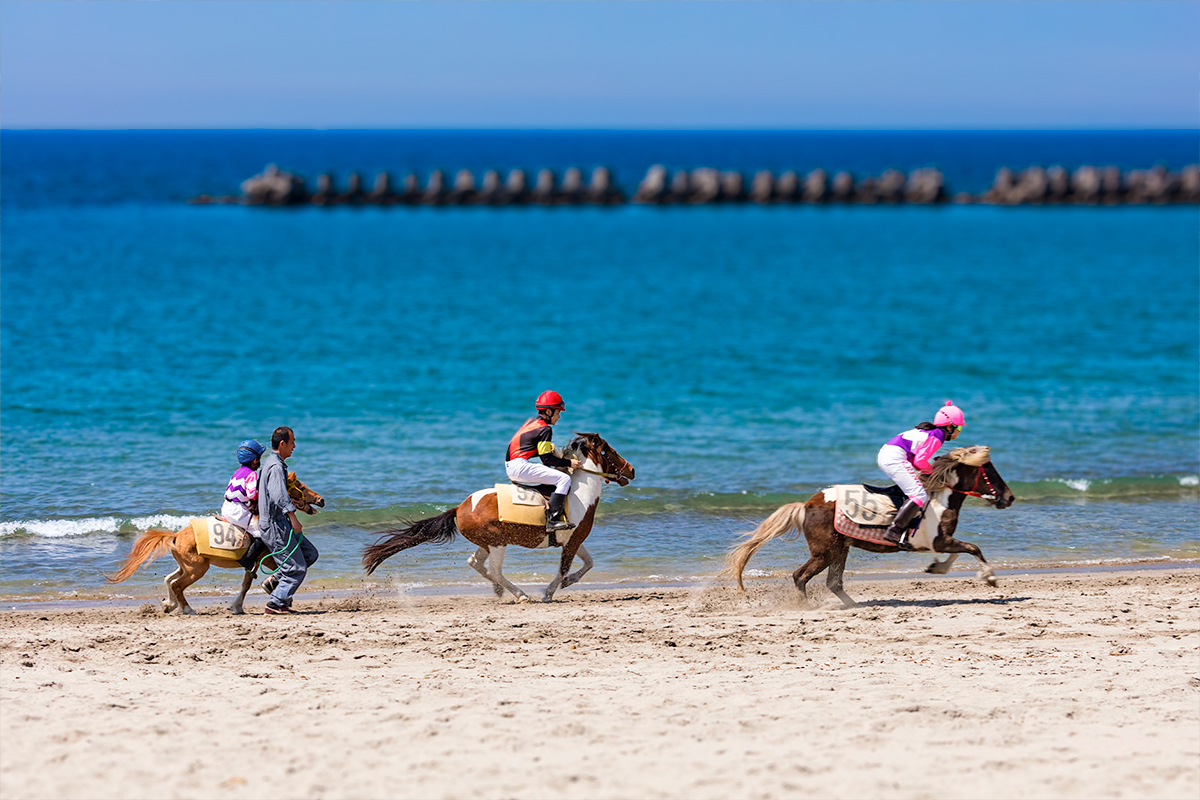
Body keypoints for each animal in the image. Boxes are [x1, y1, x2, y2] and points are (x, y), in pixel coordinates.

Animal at [107, 472, 325, 615]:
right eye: (301, 487)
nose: (321, 500)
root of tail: (176, 535)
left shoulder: (255, 563)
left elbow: (248, 582)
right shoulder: (267, 559)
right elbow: (258, 580)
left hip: (187, 566)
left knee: (169, 579)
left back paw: (169, 605)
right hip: (197, 569)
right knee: (177, 585)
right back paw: (187, 609)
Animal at [362, 432, 635, 602]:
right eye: (611, 451)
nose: (632, 470)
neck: (579, 494)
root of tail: (459, 508)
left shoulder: (574, 540)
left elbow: (589, 563)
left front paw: (568, 582)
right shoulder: (572, 541)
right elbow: (564, 569)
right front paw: (549, 592)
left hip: (487, 544)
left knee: (475, 563)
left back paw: (498, 590)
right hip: (497, 543)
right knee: (493, 570)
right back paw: (520, 594)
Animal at [726, 445, 1015, 608]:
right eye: (989, 470)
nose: (1010, 497)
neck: (938, 497)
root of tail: (806, 505)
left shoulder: (942, 541)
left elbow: (960, 552)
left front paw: (936, 567)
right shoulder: (940, 540)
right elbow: (973, 548)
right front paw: (990, 577)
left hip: (840, 549)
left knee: (833, 582)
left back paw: (854, 606)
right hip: (824, 552)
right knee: (801, 576)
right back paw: (806, 606)